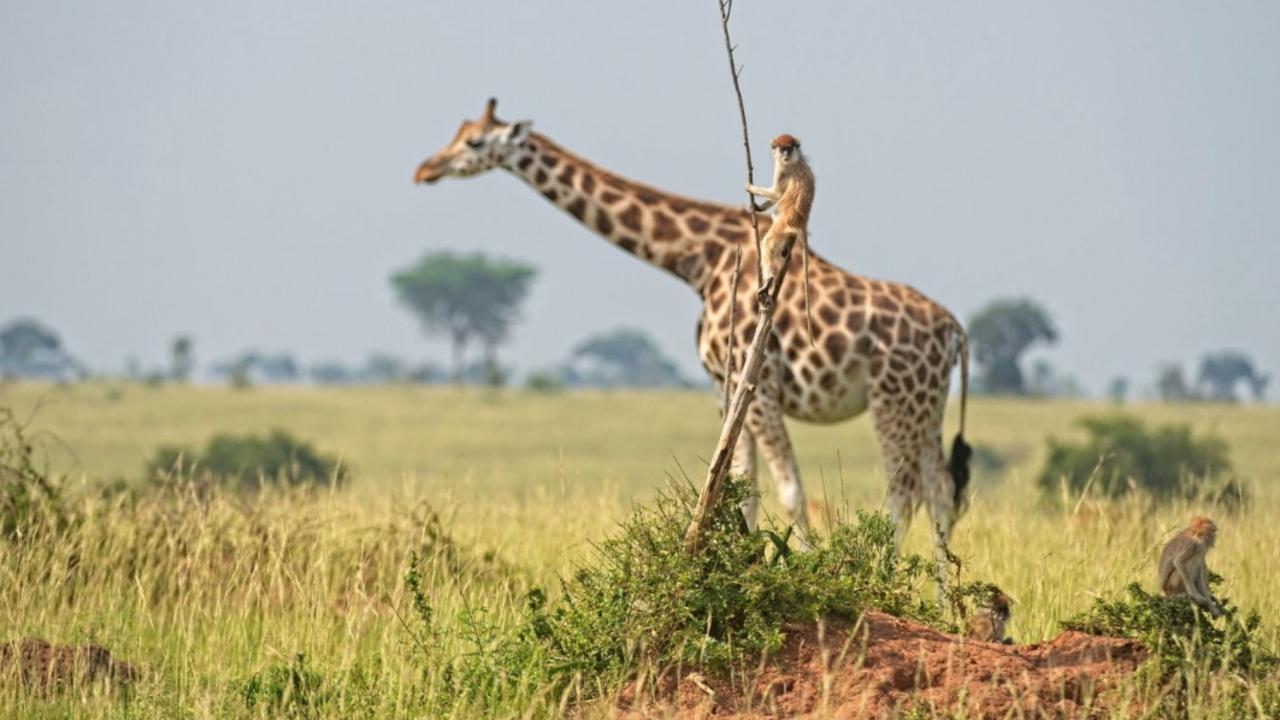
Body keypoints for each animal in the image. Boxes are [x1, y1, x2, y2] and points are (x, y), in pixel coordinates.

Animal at [747, 133, 814, 338]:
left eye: (789, 148)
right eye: (782, 148)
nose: (785, 154)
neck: (795, 159)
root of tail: (799, 223)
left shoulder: (783, 170)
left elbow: (777, 193)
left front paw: (751, 188)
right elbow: (777, 195)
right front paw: (757, 207)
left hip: (782, 225)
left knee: (768, 242)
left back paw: (768, 281)